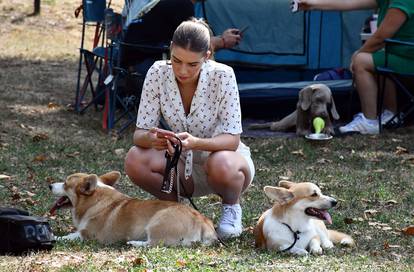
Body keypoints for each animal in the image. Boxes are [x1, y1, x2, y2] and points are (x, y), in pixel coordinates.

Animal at [49, 172, 218, 246]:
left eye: (65, 184)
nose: (50, 185)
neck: (93, 201)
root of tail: (203, 221)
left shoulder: (88, 235)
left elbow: (69, 236)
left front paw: (54, 236)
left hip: (156, 223)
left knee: (153, 244)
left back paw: (133, 243)